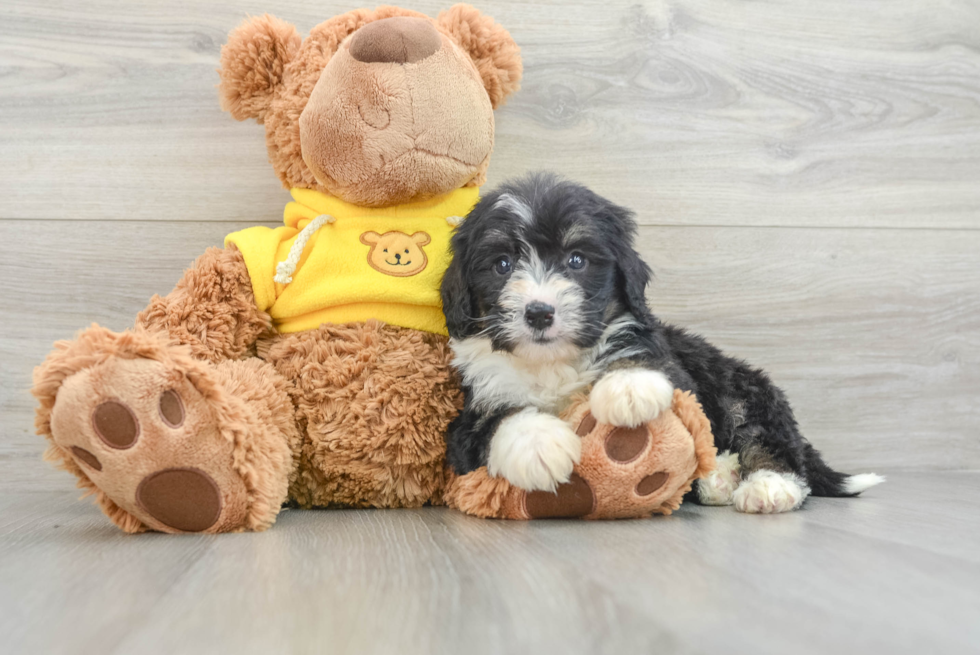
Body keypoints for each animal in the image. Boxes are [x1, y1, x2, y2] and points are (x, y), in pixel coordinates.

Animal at [440, 172, 884, 516]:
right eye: (502, 264)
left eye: (576, 260)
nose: (539, 313)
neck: (552, 363)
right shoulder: (467, 419)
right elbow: (496, 420)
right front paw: (538, 445)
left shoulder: (667, 359)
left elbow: (644, 359)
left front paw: (628, 388)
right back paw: (720, 480)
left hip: (744, 391)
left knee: (769, 442)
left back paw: (768, 487)